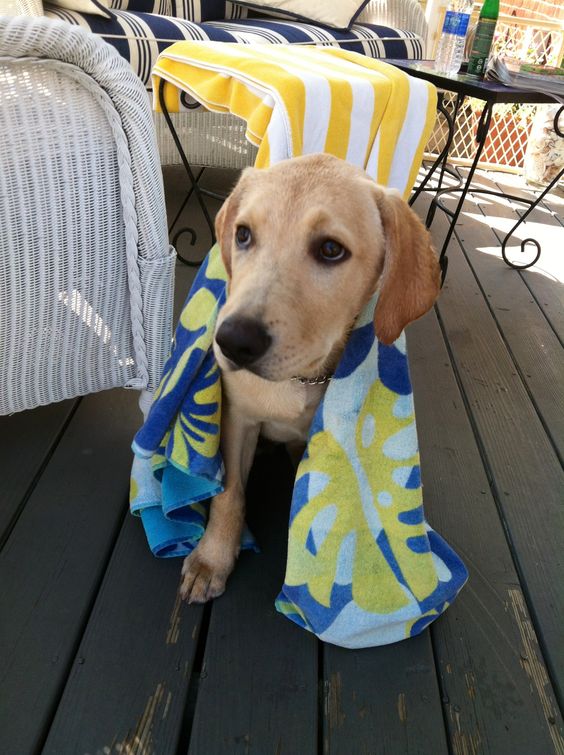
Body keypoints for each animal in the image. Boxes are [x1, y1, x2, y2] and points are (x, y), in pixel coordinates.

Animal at [181, 152, 440, 604]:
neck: (300, 380)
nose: (232, 341)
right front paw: (212, 559)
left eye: (331, 249)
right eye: (243, 235)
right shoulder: (237, 420)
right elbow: (230, 494)